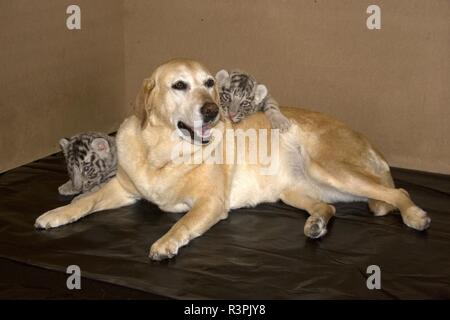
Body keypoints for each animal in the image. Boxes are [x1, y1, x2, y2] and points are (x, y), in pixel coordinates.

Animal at [35, 58, 428, 260]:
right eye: (179, 85)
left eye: (209, 82)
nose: (212, 111)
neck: (163, 151)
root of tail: (367, 141)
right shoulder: (123, 188)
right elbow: (85, 201)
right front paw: (56, 214)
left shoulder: (209, 203)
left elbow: (182, 223)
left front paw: (165, 242)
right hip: (294, 190)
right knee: (328, 207)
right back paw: (316, 223)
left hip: (330, 168)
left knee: (400, 193)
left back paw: (415, 216)